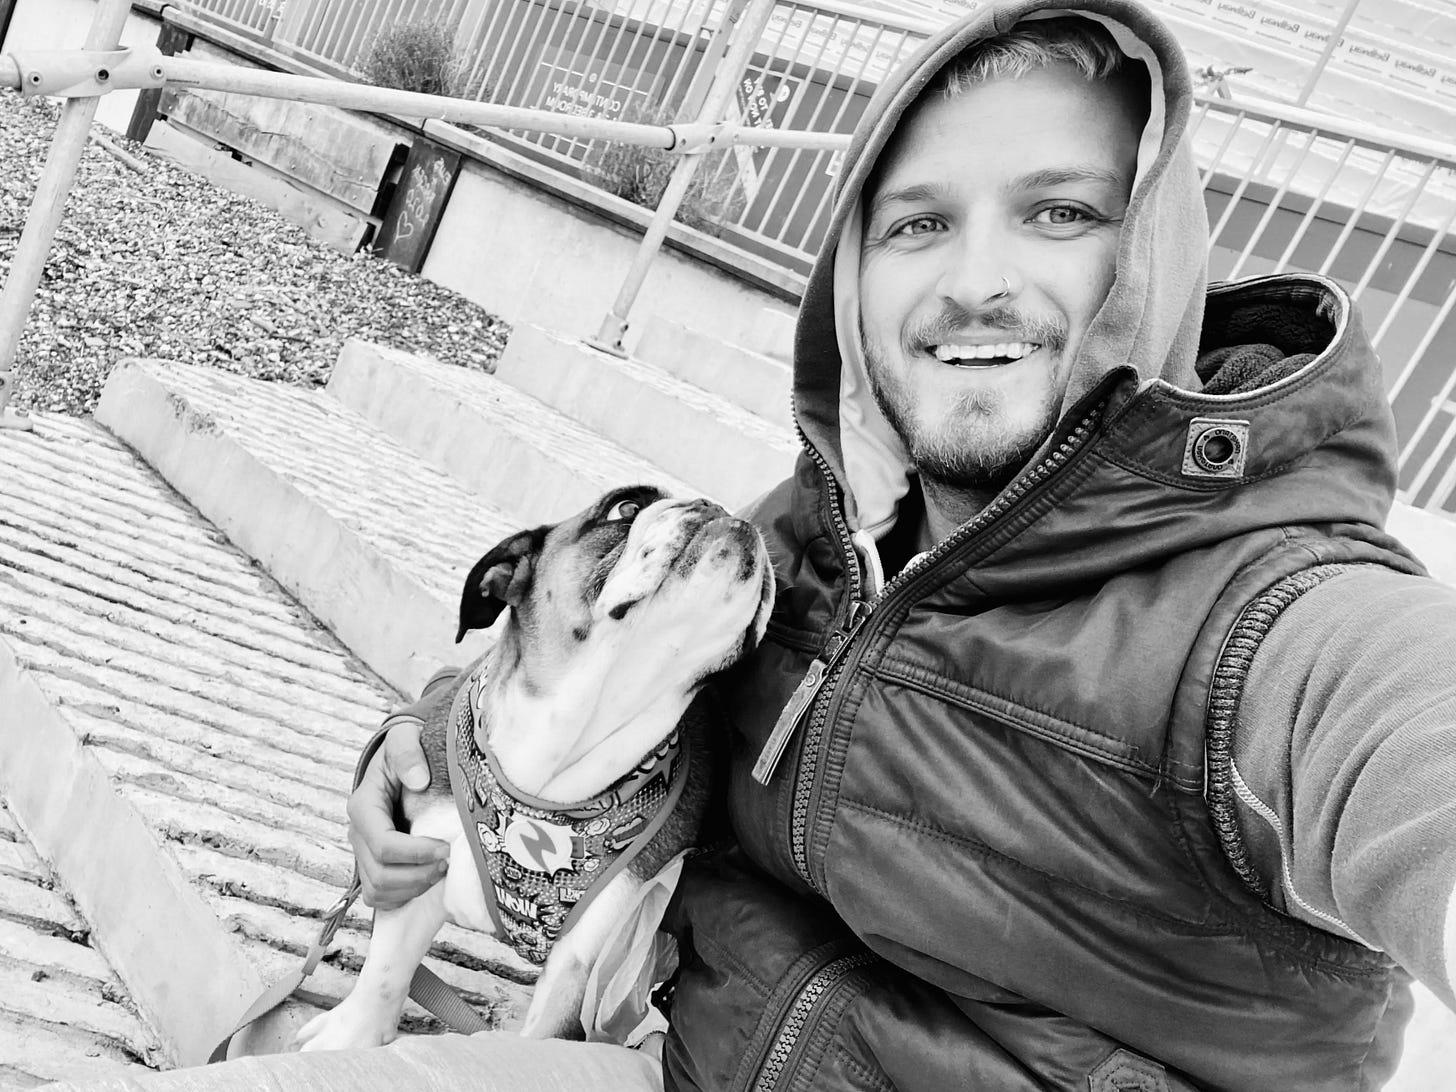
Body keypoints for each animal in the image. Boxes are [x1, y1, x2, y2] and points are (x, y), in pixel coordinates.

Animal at [294, 485, 774, 1049]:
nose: (717, 507)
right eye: (627, 507)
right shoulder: (416, 866)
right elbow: (386, 972)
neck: (554, 771)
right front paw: (351, 1036)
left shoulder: (580, 967)